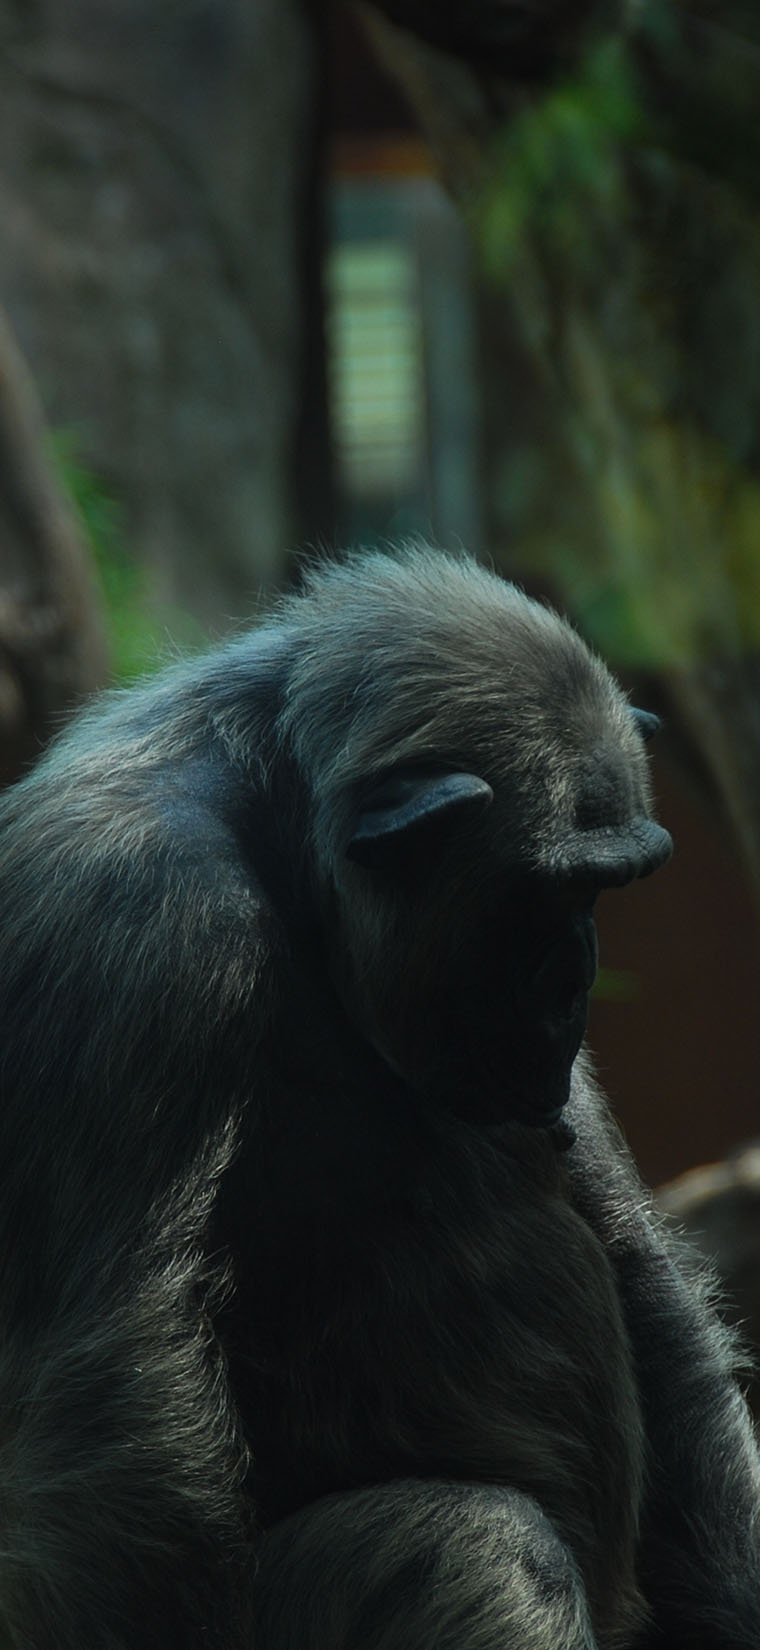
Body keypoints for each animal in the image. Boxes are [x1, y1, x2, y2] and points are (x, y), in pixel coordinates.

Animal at [0, 544, 758, 1649]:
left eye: (609, 891)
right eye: (552, 892)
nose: (577, 977)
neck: (281, 833)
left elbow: (644, 1277)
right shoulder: (128, 927)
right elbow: (122, 1397)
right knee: (479, 1548)